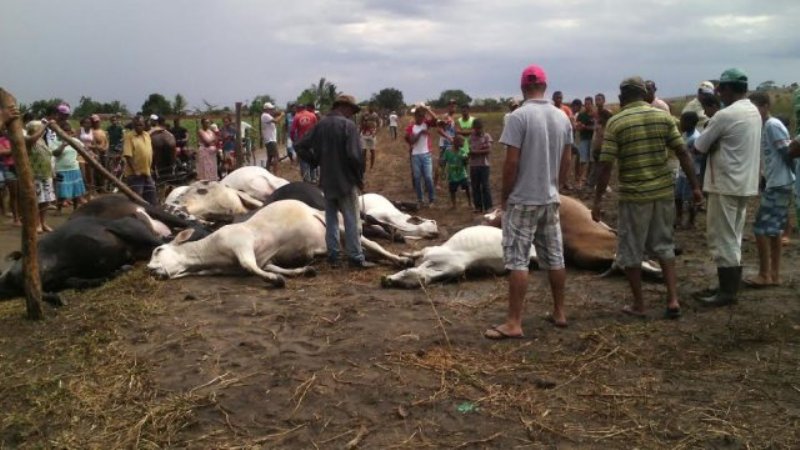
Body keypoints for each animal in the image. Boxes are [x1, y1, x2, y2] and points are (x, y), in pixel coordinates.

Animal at [147, 200, 416, 286]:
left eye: (158, 249)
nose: (149, 269)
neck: (208, 254)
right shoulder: (265, 259)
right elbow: (269, 267)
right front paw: (302, 270)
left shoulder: (241, 244)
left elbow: (249, 266)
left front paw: (276, 280)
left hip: (342, 228)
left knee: (373, 246)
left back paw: (401, 259)